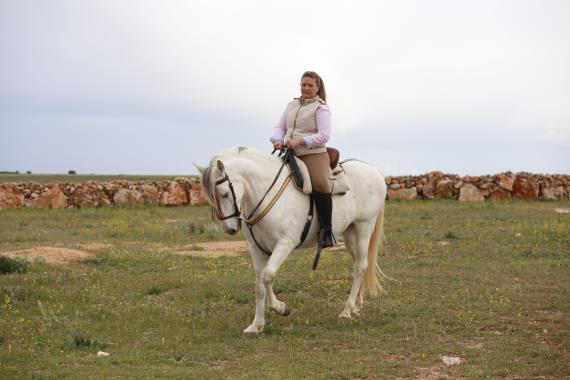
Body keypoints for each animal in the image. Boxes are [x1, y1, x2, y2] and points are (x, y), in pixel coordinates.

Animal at [194, 147, 386, 336]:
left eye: (225, 194)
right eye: (210, 198)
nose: (230, 229)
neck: (265, 193)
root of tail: (374, 171)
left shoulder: (285, 243)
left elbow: (268, 275)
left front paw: (281, 308)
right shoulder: (256, 249)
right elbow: (259, 285)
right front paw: (256, 325)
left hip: (363, 228)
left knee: (360, 267)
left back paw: (346, 312)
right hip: (350, 234)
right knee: (361, 264)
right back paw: (356, 306)